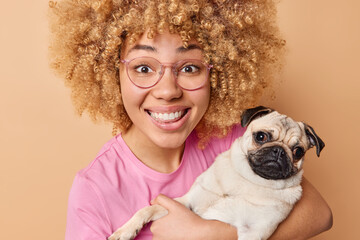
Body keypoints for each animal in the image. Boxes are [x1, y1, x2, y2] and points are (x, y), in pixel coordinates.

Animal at [108, 106, 324, 240]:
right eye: (261, 136)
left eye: (298, 152)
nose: (279, 151)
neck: (250, 181)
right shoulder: (184, 204)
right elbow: (146, 210)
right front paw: (125, 231)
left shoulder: (254, 231)